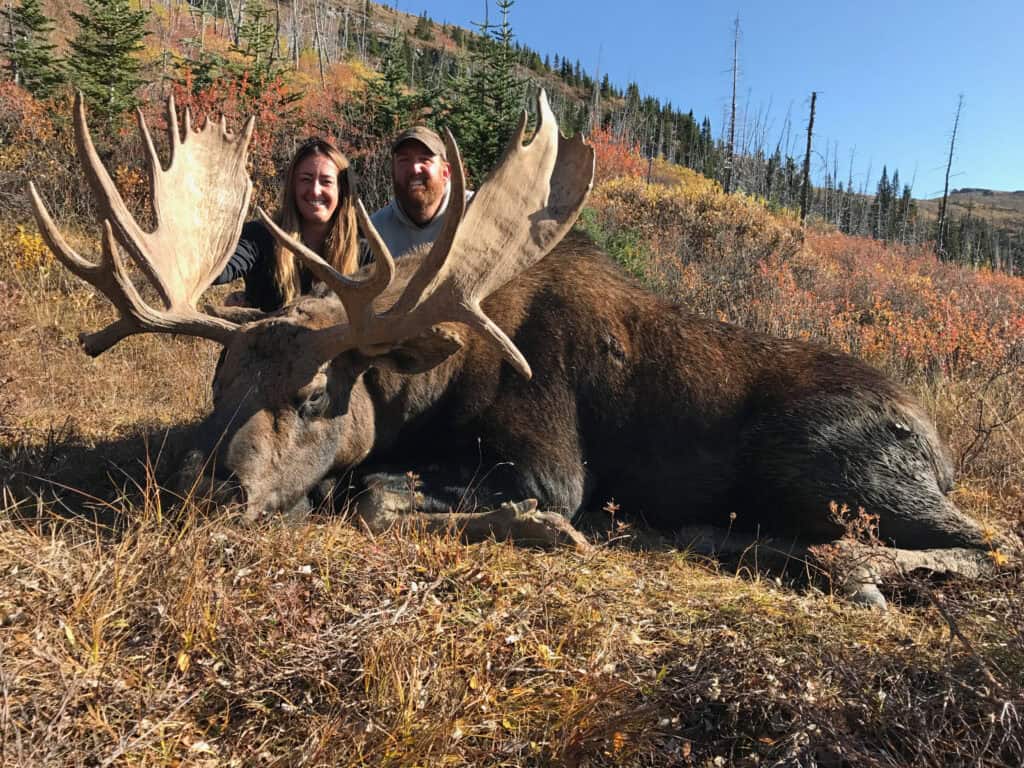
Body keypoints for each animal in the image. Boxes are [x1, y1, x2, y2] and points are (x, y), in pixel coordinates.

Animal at [30, 92, 1013, 606]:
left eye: (312, 398)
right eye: (217, 385)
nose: (206, 486)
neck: (422, 389)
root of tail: (940, 447)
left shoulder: (549, 462)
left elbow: (382, 500)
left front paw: (542, 530)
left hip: (829, 464)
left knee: (986, 544)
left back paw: (840, 568)